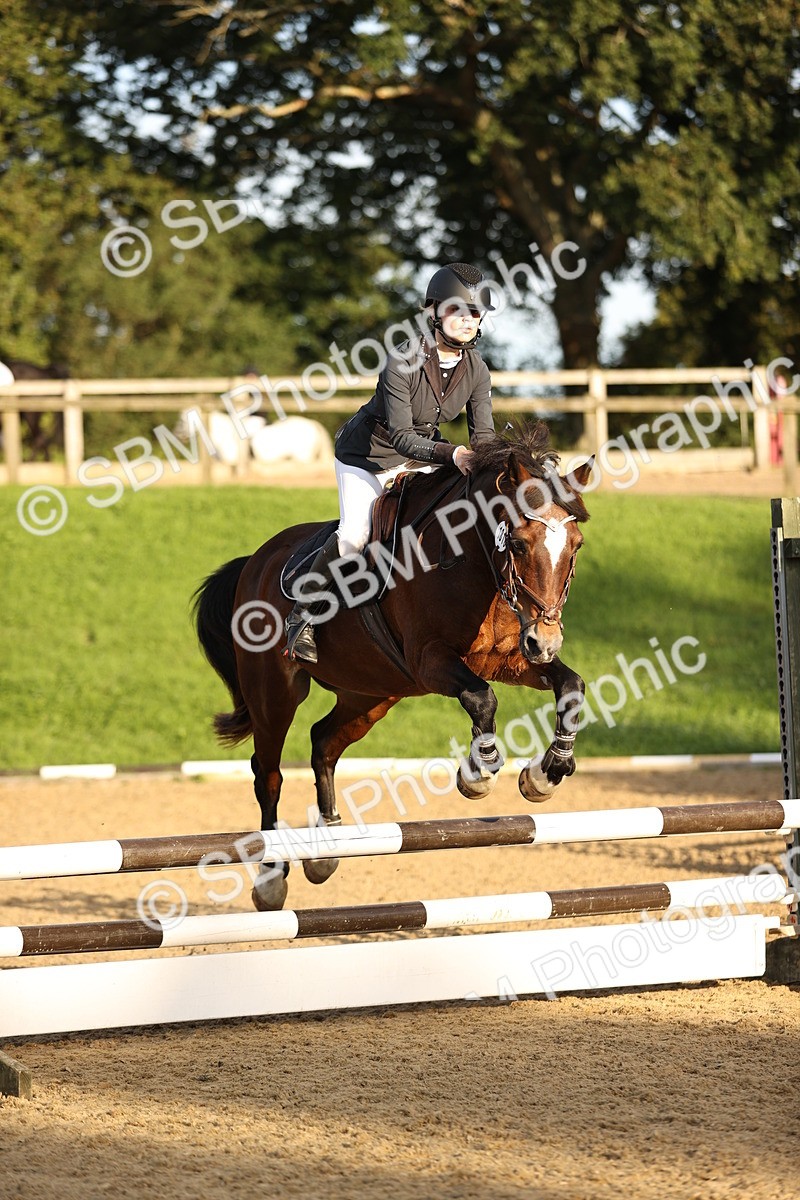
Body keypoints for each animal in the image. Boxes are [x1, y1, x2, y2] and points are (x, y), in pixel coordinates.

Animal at [194, 421, 592, 910]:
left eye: (575, 546)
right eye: (517, 543)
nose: (547, 641)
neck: (473, 564)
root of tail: (255, 561)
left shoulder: (508, 659)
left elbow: (571, 686)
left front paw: (546, 774)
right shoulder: (431, 662)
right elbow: (481, 698)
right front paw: (478, 774)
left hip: (371, 693)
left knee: (323, 742)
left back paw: (327, 849)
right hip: (276, 694)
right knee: (267, 773)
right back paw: (271, 878)